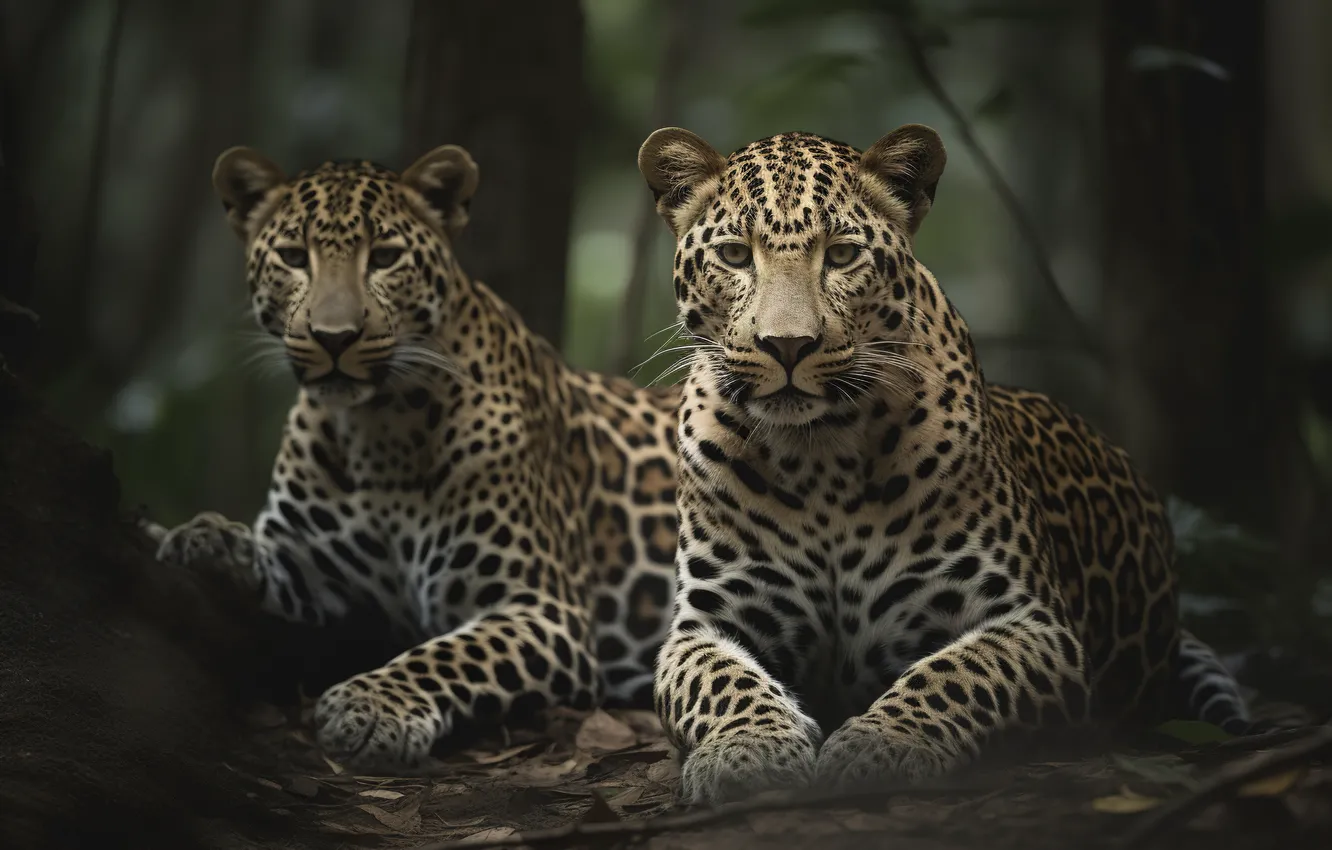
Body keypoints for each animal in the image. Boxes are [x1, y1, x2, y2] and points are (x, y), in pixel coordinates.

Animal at [144, 144, 680, 771]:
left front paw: (371, 707)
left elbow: (450, 654)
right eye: (294, 257)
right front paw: (201, 536)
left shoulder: (543, 609)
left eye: (385, 257)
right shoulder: (307, 567)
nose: (333, 338)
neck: (380, 431)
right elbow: (261, 555)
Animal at [635, 124, 1252, 805]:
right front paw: (749, 749)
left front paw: (881, 744)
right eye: (736, 255)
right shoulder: (707, 625)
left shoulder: (1032, 625)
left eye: (842, 256)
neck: (819, 457)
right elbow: (723, 683)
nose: (788, 345)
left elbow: (954, 672)